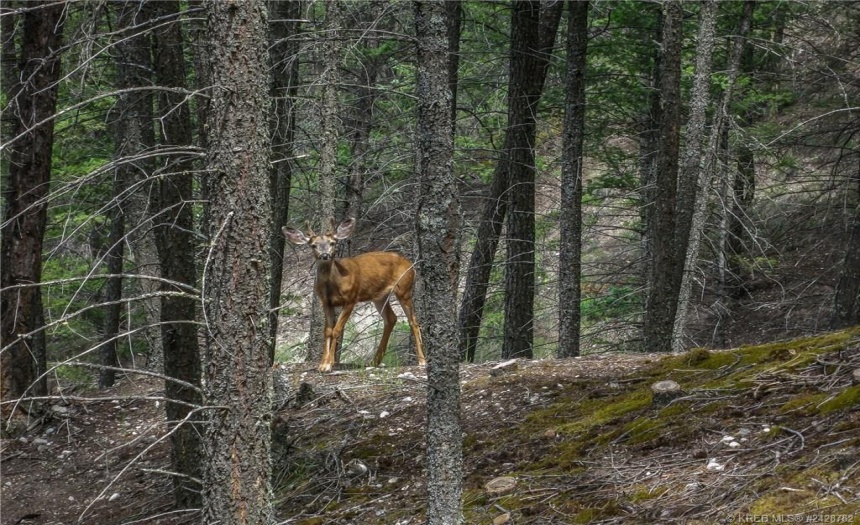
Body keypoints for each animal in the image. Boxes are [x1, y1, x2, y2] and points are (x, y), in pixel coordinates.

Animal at [286, 217, 426, 372]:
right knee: (391, 318)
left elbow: (336, 330)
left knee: (413, 322)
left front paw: (329, 364)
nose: (325, 255)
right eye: (313, 245)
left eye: (332, 243)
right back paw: (375, 361)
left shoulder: (351, 298)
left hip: (404, 289)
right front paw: (322, 364)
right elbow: (327, 331)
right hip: (380, 296)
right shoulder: (326, 302)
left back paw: (422, 361)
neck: (334, 283)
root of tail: (411, 265)